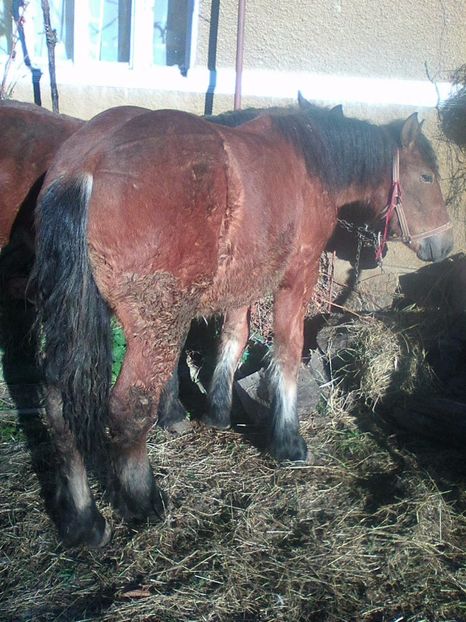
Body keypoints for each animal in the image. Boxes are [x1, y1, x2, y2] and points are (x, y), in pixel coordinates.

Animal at [30, 105, 452, 548]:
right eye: (427, 176)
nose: (444, 246)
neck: (309, 159)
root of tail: (88, 161)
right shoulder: (296, 278)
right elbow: (287, 351)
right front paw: (288, 441)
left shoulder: (245, 280)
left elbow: (234, 338)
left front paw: (217, 411)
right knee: (129, 408)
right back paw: (144, 500)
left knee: (59, 406)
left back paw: (84, 520)